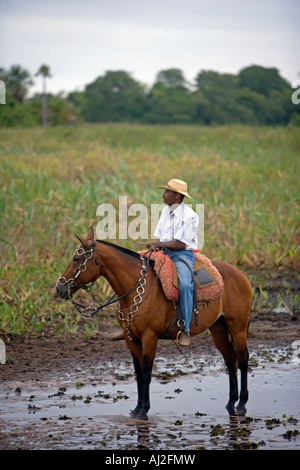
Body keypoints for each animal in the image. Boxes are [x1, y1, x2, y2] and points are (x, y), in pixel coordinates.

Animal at [55, 227, 251, 418]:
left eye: (76, 259)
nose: (59, 288)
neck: (135, 288)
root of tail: (240, 274)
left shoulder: (149, 337)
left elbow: (147, 373)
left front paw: (144, 411)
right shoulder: (130, 338)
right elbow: (139, 373)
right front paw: (137, 409)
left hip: (238, 327)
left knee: (242, 359)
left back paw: (241, 404)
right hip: (218, 328)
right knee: (230, 360)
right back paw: (231, 403)